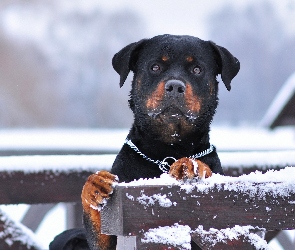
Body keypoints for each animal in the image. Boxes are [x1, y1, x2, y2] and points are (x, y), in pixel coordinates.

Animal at [81, 33, 240, 250]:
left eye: (197, 69)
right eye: (155, 67)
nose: (175, 86)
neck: (167, 150)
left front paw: (191, 166)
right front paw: (94, 185)